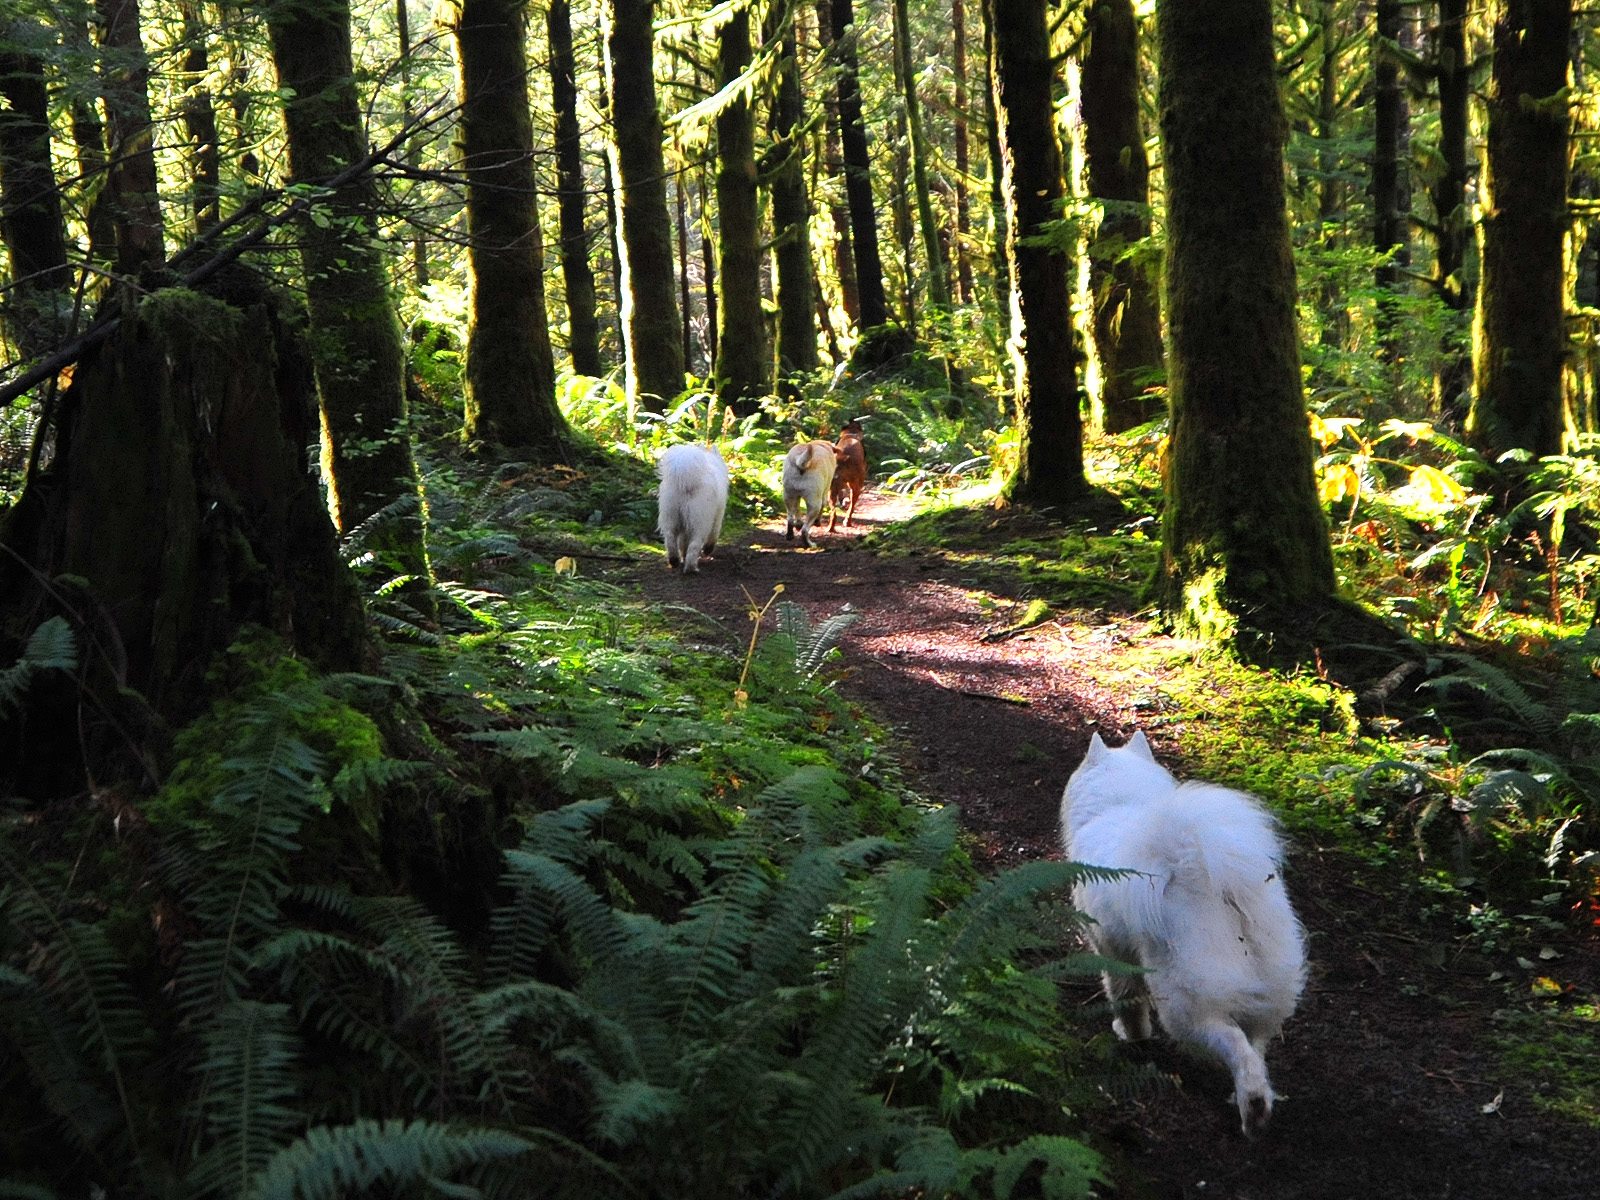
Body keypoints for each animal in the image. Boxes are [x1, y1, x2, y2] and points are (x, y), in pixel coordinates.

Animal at [656, 443, 728, 573]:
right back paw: (691, 568)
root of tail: (686, 481)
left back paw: (674, 561)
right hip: (700, 521)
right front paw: (708, 550)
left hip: (670, 515)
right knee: (695, 544)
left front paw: (683, 555)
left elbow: (683, 542)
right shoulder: (718, 516)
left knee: (670, 538)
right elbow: (714, 535)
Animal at [1061, 730, 1306, 1137]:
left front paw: (1130, 1034)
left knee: (1235, 1044)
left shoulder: (1112, 950)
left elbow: (1126, 1000)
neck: (1120, 802)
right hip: (1266, 991)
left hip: (1182, 1007)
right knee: (1256, 1047)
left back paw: (1253, 1111)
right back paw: (1251, 1100)